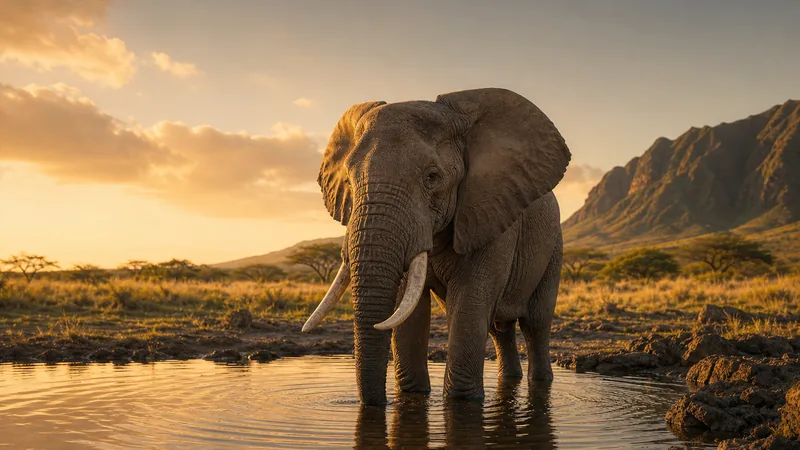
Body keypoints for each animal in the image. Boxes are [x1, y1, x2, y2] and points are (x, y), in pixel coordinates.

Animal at [301, 87, 571, 406]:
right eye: (350, 180)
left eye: (432, 177)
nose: (377, 403)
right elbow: (409, 309)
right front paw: (412, 396)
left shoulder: (491, 213)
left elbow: (469, 302)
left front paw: (462, 401)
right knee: (498, 330)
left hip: (554, 247)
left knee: (536, 323)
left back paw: (540, 380)